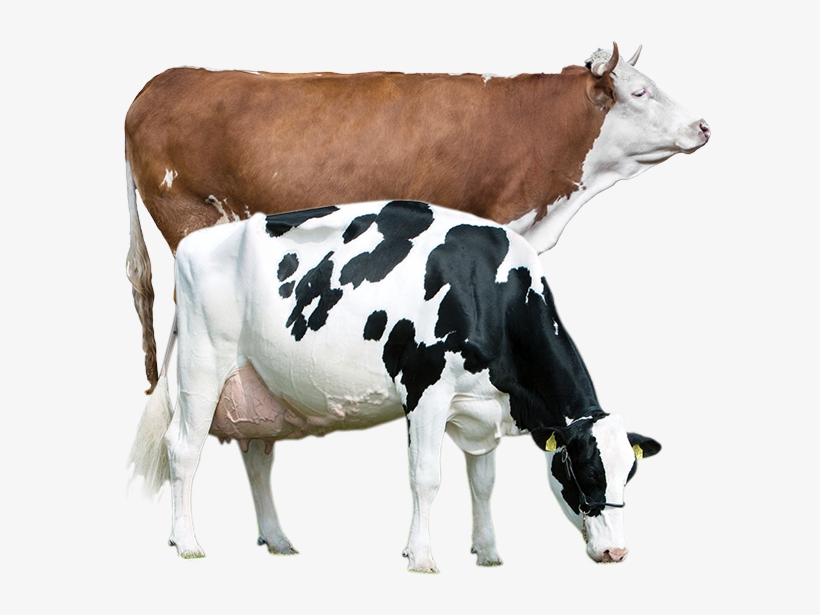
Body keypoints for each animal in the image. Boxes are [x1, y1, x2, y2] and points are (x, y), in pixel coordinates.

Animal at [129, 200, 661, 570]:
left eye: (629, 474)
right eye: (586, 472)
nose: (616, 553)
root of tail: (193, 242)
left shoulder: (484, 407)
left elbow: (484, 483)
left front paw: (488, 552)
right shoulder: (425, 391)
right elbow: (426, 478)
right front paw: (421, 557)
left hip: (262, 389)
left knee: (257, 460)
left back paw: (277, 540)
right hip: (203, 367)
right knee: (184, 451)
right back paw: (187, 543)